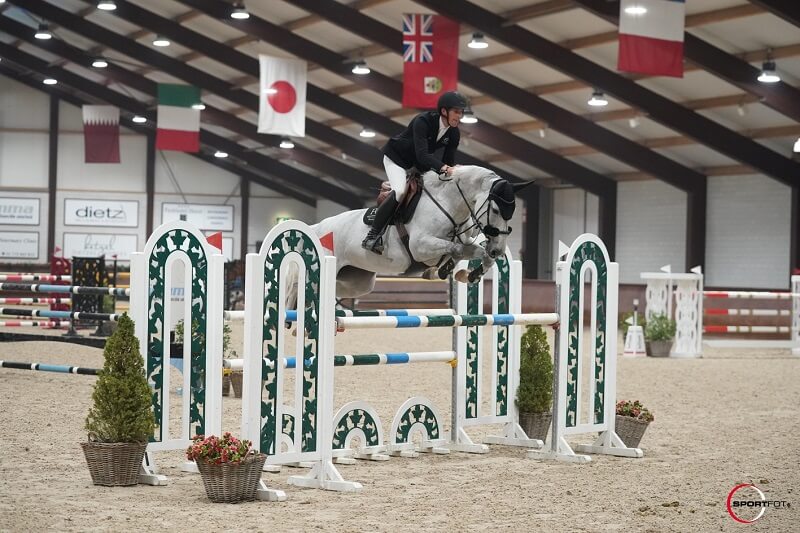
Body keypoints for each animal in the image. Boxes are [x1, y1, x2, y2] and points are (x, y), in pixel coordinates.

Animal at [306, 165, 524, 300]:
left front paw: (469, 275)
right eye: (495, 210)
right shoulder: (421, 247)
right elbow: (456, 248)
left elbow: (478, 253)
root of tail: (317, 228)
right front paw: (442, 270)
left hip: (357, 282)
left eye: (511, 213)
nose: (498, 250)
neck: (447, 203)